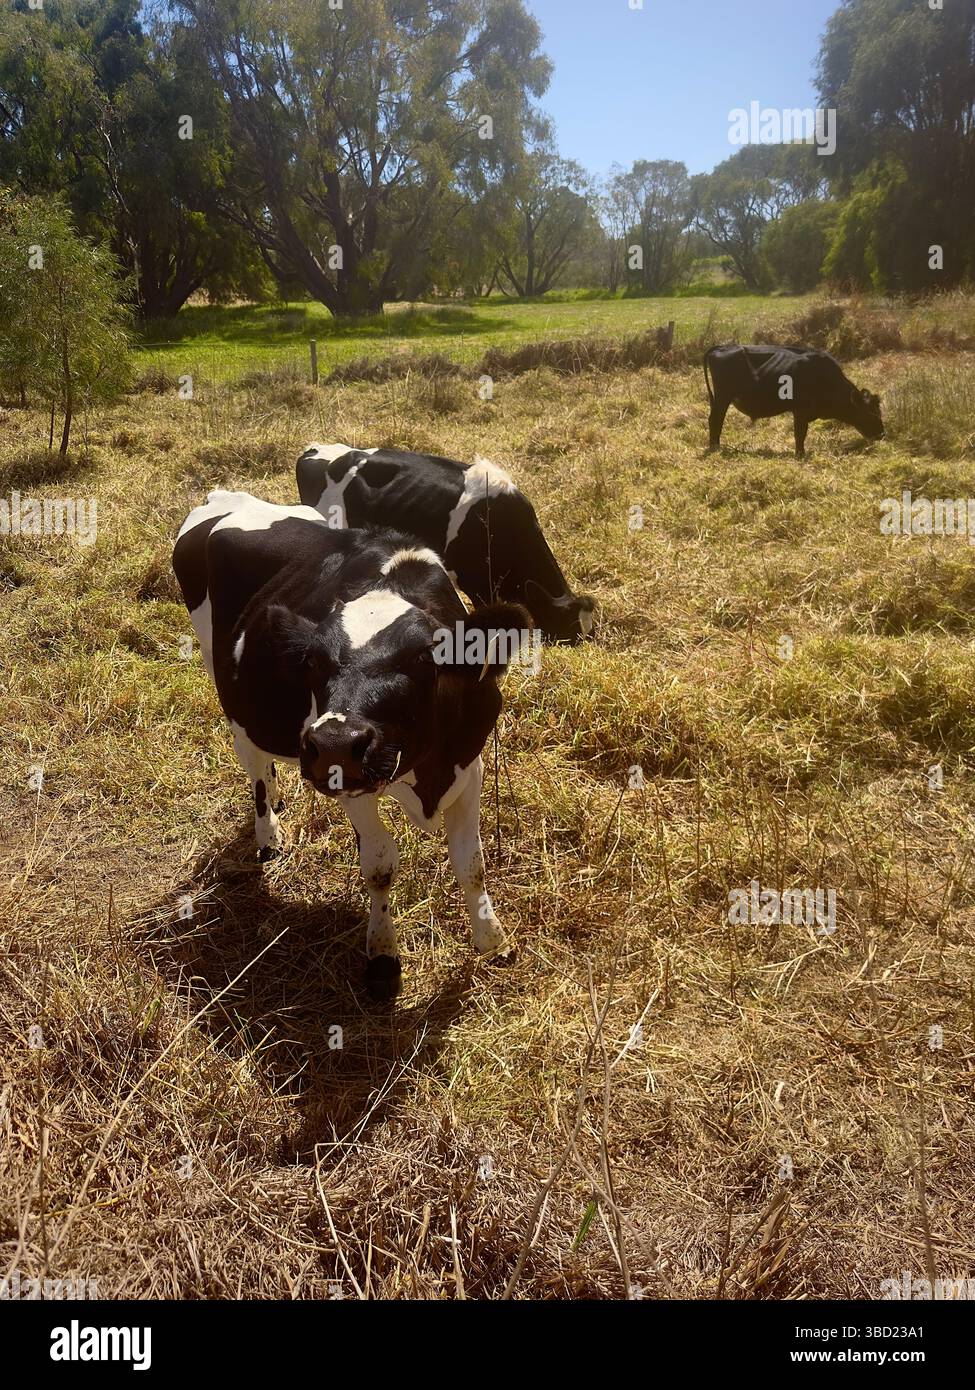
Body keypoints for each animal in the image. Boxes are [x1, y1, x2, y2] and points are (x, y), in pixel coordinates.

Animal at [172, 489, 529, 1000]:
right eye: (312, 660)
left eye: (427, 657)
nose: (336, 742)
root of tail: (226, 496)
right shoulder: (346, 780)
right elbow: (379, 865)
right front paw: (383, 957)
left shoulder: (469, 761)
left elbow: (471, 863)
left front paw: (493, 940)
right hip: (228, 691)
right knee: (255, 767)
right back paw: (268, 833)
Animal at [703, 344, 884, 458]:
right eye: (870, 413)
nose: (882, 434)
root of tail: (723, 346)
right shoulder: (800, 411)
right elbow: (800, 434)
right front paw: (800, 454)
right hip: (722, 398)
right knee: (715, 420)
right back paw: (715, 447)